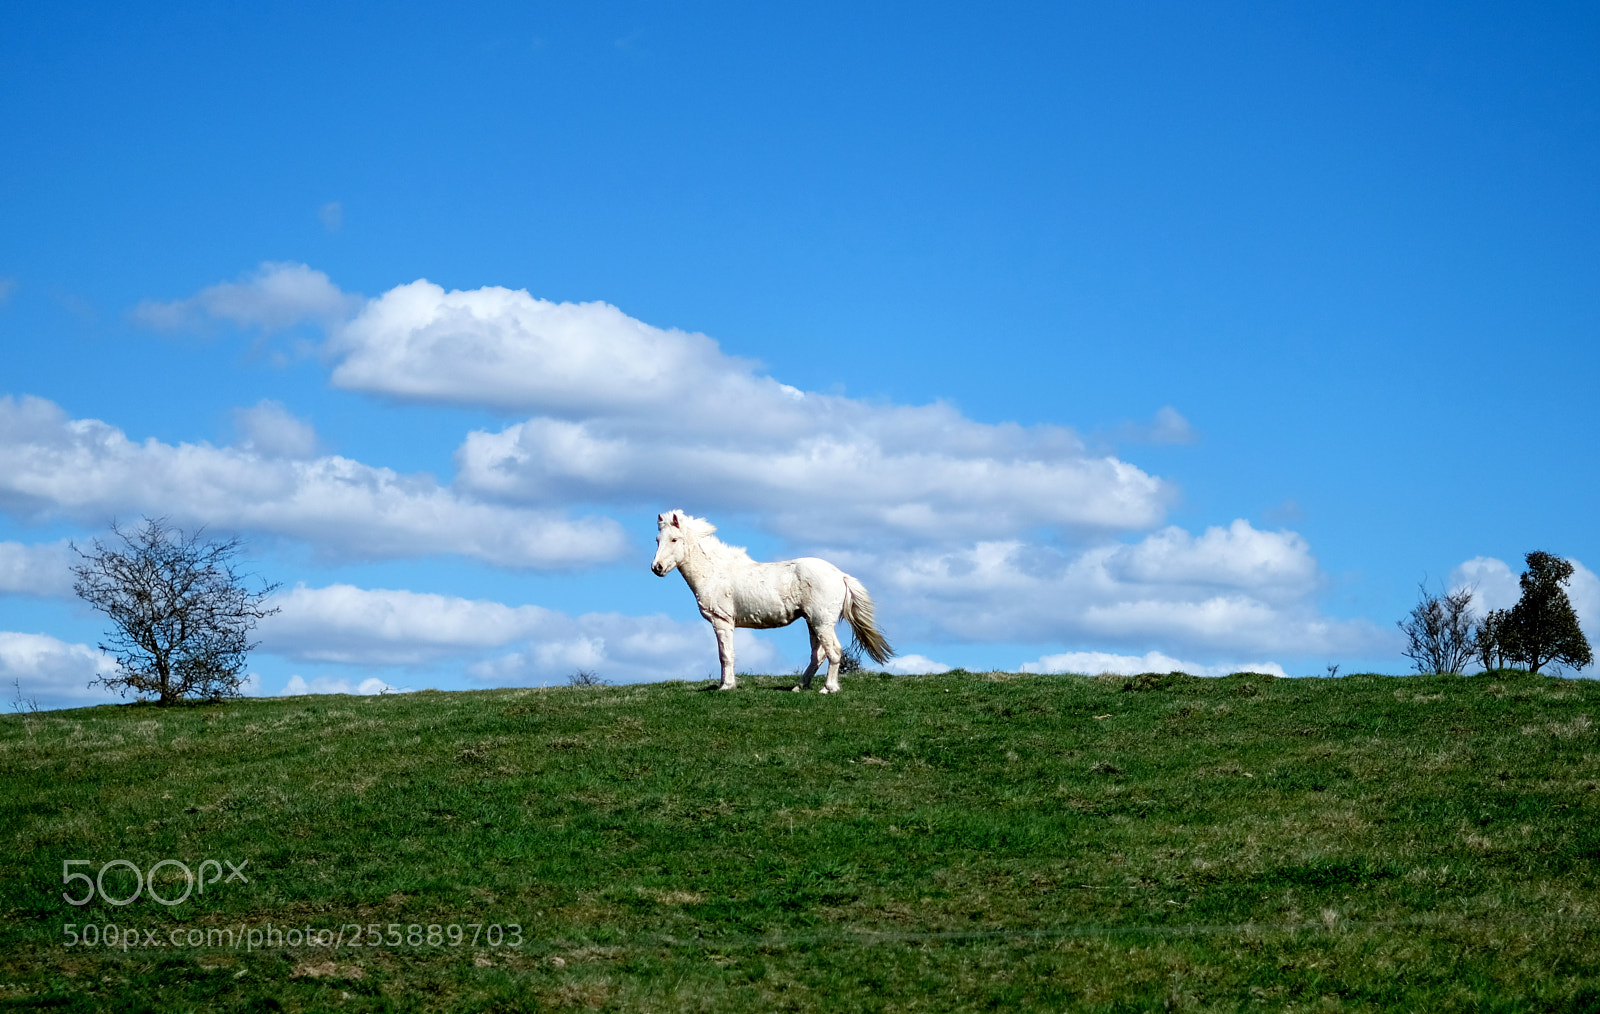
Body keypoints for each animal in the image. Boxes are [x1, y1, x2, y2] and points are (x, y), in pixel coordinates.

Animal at [650, 510, 894, 693]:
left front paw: (726, 686)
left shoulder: (722, 621)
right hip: (812, 622)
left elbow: (725, 655)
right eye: (657, 540)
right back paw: (799, 687)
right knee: (818, 654)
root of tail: (841, 575)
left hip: (821, 621)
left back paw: (828, 688)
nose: (656, 568)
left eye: (674, 539)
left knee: (833, 651)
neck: (715, 572)